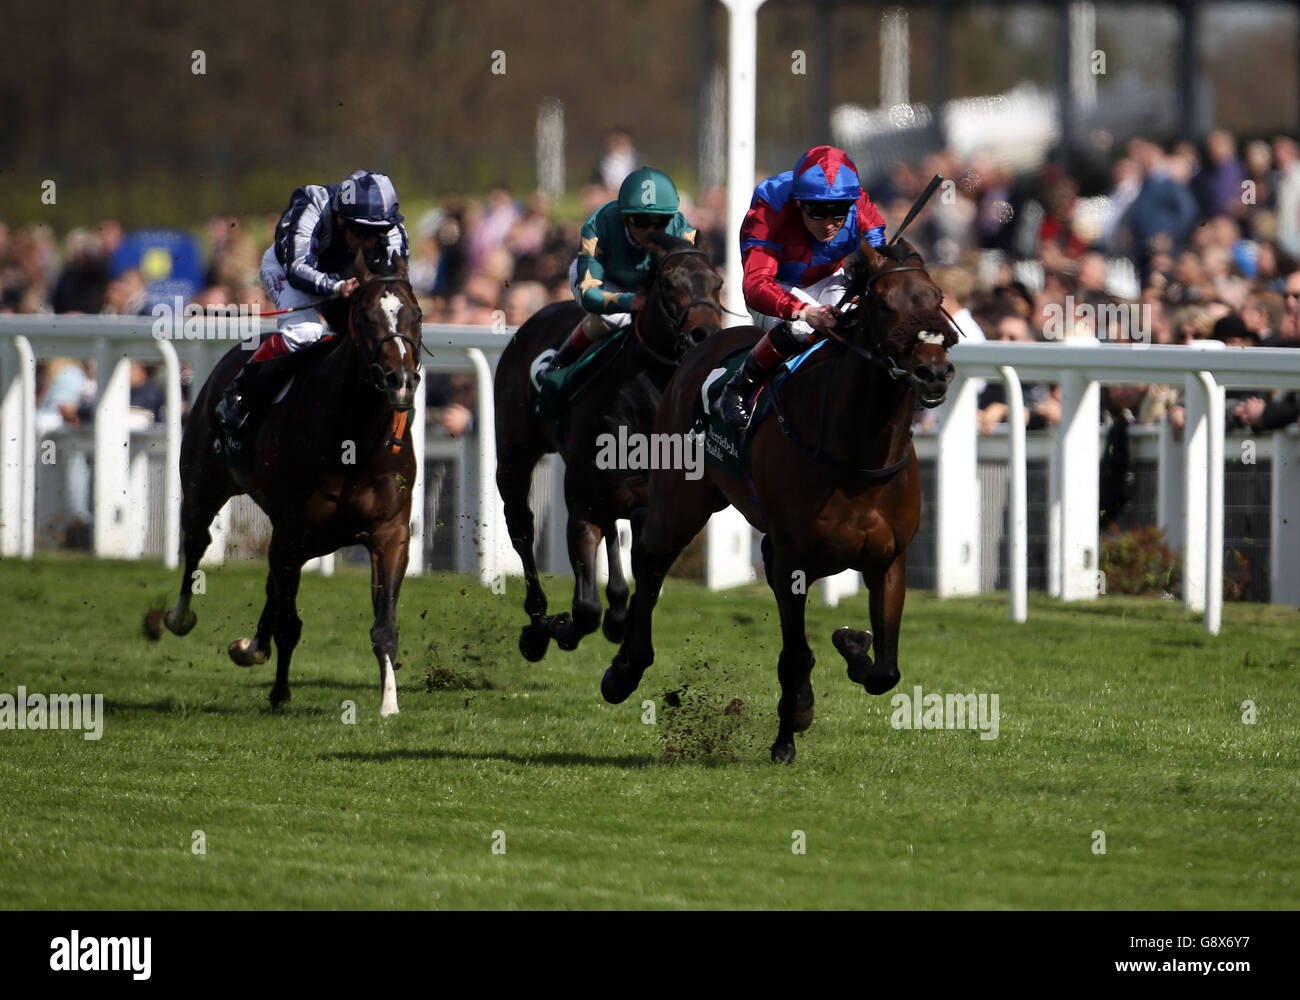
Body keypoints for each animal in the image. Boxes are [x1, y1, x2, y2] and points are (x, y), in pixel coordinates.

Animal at [156, 253, 421, 712]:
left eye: (417, 315)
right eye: (366, 316)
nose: (401, 380)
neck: (352, 443)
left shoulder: (389, 532)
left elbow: (383, 624)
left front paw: (389, 702)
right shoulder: (292, 531)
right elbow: (288, 622)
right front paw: (279, 692)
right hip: (205, 486)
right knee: (197, 543)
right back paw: (180, 617)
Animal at [493, 230, 728, 660]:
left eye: (717, 283)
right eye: (668, 283)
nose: (705, 335)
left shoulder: (653, 502)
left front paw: (622, 619)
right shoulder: (581, 497)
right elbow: (585, 607)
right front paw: (559, 628)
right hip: (516, 453)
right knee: (521, 525)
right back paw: (537, 622)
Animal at [598, 241, 956, 764]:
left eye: (937, 297)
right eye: (883, 302)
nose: (933, 371)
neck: (857, 452)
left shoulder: (889, 560)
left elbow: (885, 670)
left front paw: (851, 645)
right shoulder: (794, 560)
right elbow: (795, 655)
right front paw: (785, 739)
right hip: (683, 498)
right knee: (650, 555)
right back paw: (624, 669)